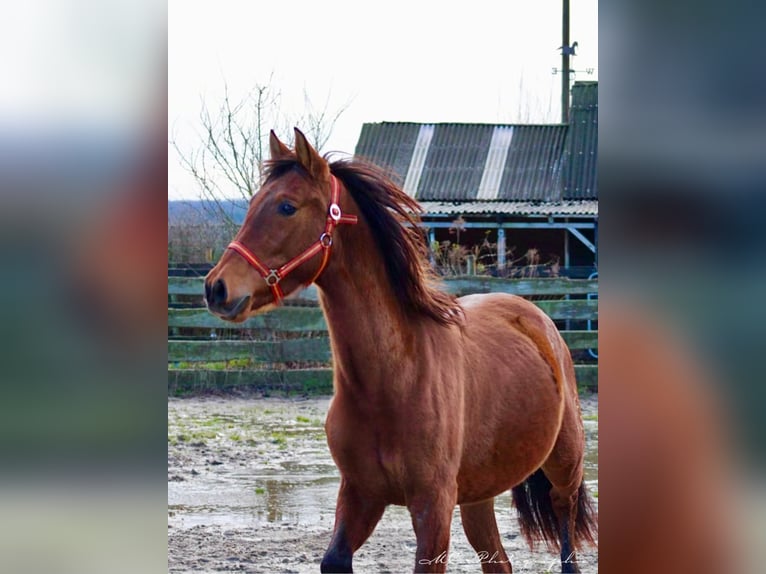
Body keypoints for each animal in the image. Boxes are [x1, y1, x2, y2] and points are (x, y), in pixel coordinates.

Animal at [206, 128, 600, 572]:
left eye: (286, 206)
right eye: (253, 203)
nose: (216, 287)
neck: (394, 377)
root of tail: (539, 320)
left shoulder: (432, 505)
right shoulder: (360, 492)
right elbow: (334, 559)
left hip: (563, 470)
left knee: (566, 541)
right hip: (477, 494)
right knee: (497, 561)